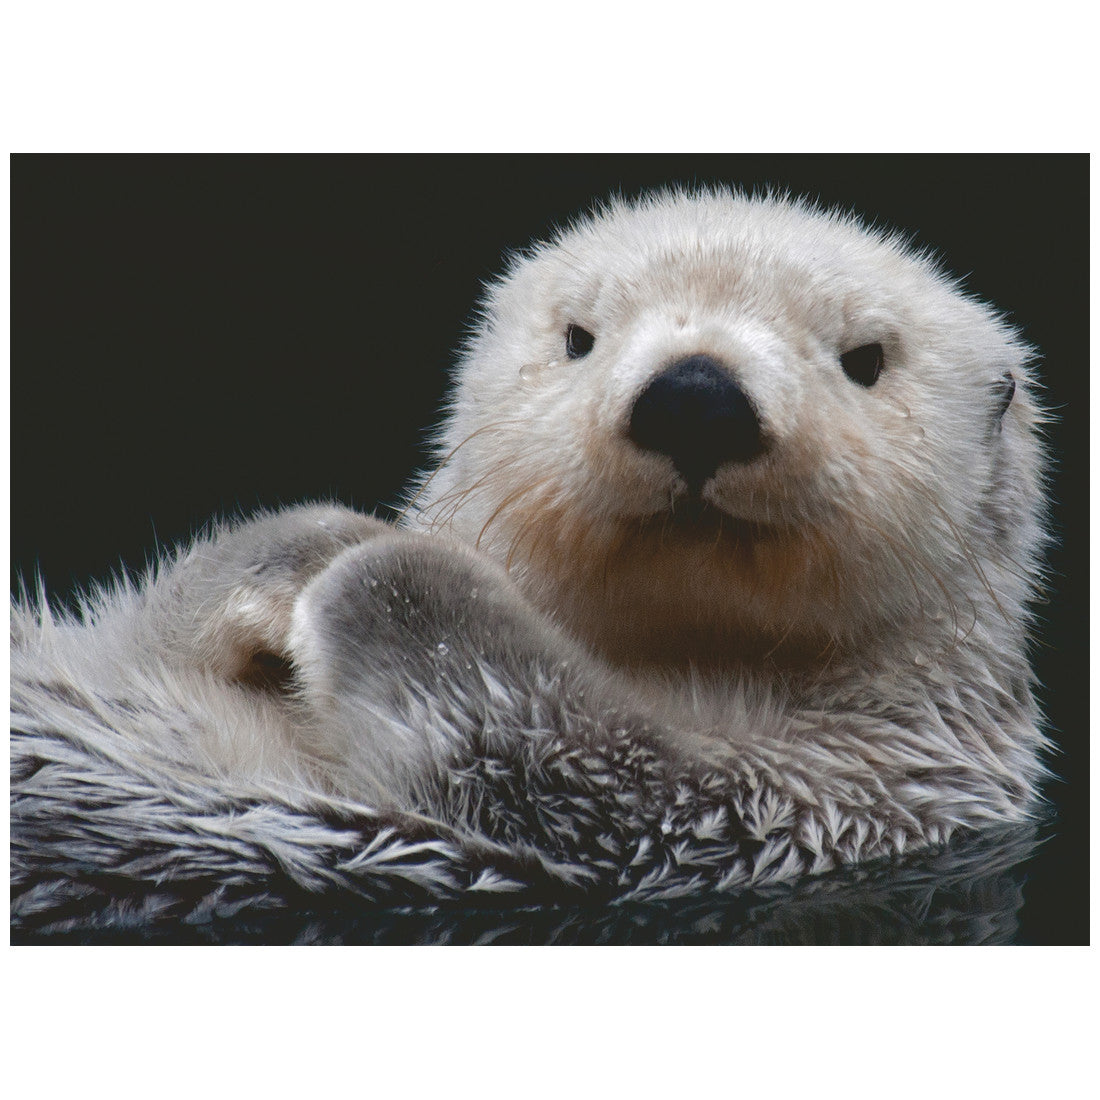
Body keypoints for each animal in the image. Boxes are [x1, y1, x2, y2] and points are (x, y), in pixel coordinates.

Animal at [10, 189, 1050, 927]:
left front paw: (379, 570)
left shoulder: (820, 798)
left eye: (867, 358)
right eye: (579, 337)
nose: (696, 397)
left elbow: (561, 752)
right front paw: (308, 549)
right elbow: (150, 623)